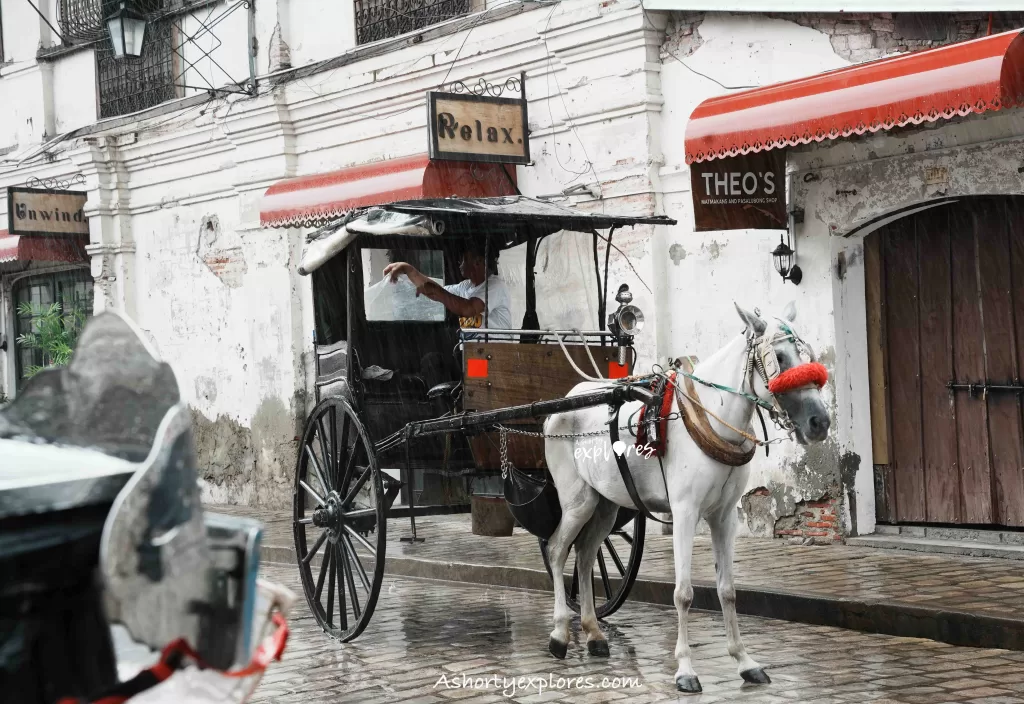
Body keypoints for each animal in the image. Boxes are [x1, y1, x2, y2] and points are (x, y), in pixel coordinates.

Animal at [544, 302, 831, 691]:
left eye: (808, 355)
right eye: (781, 357)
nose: (820, 422)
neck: (714, 419)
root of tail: (564, 401)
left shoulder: (724, 517)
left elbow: (727, 590)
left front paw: (744, 661)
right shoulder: (684, 513)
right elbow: (683, 593)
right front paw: (685, 670)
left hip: (605, 505)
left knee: (586, 555)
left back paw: (593, 634)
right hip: (577, 501)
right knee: (557, 550)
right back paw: (560, 633)